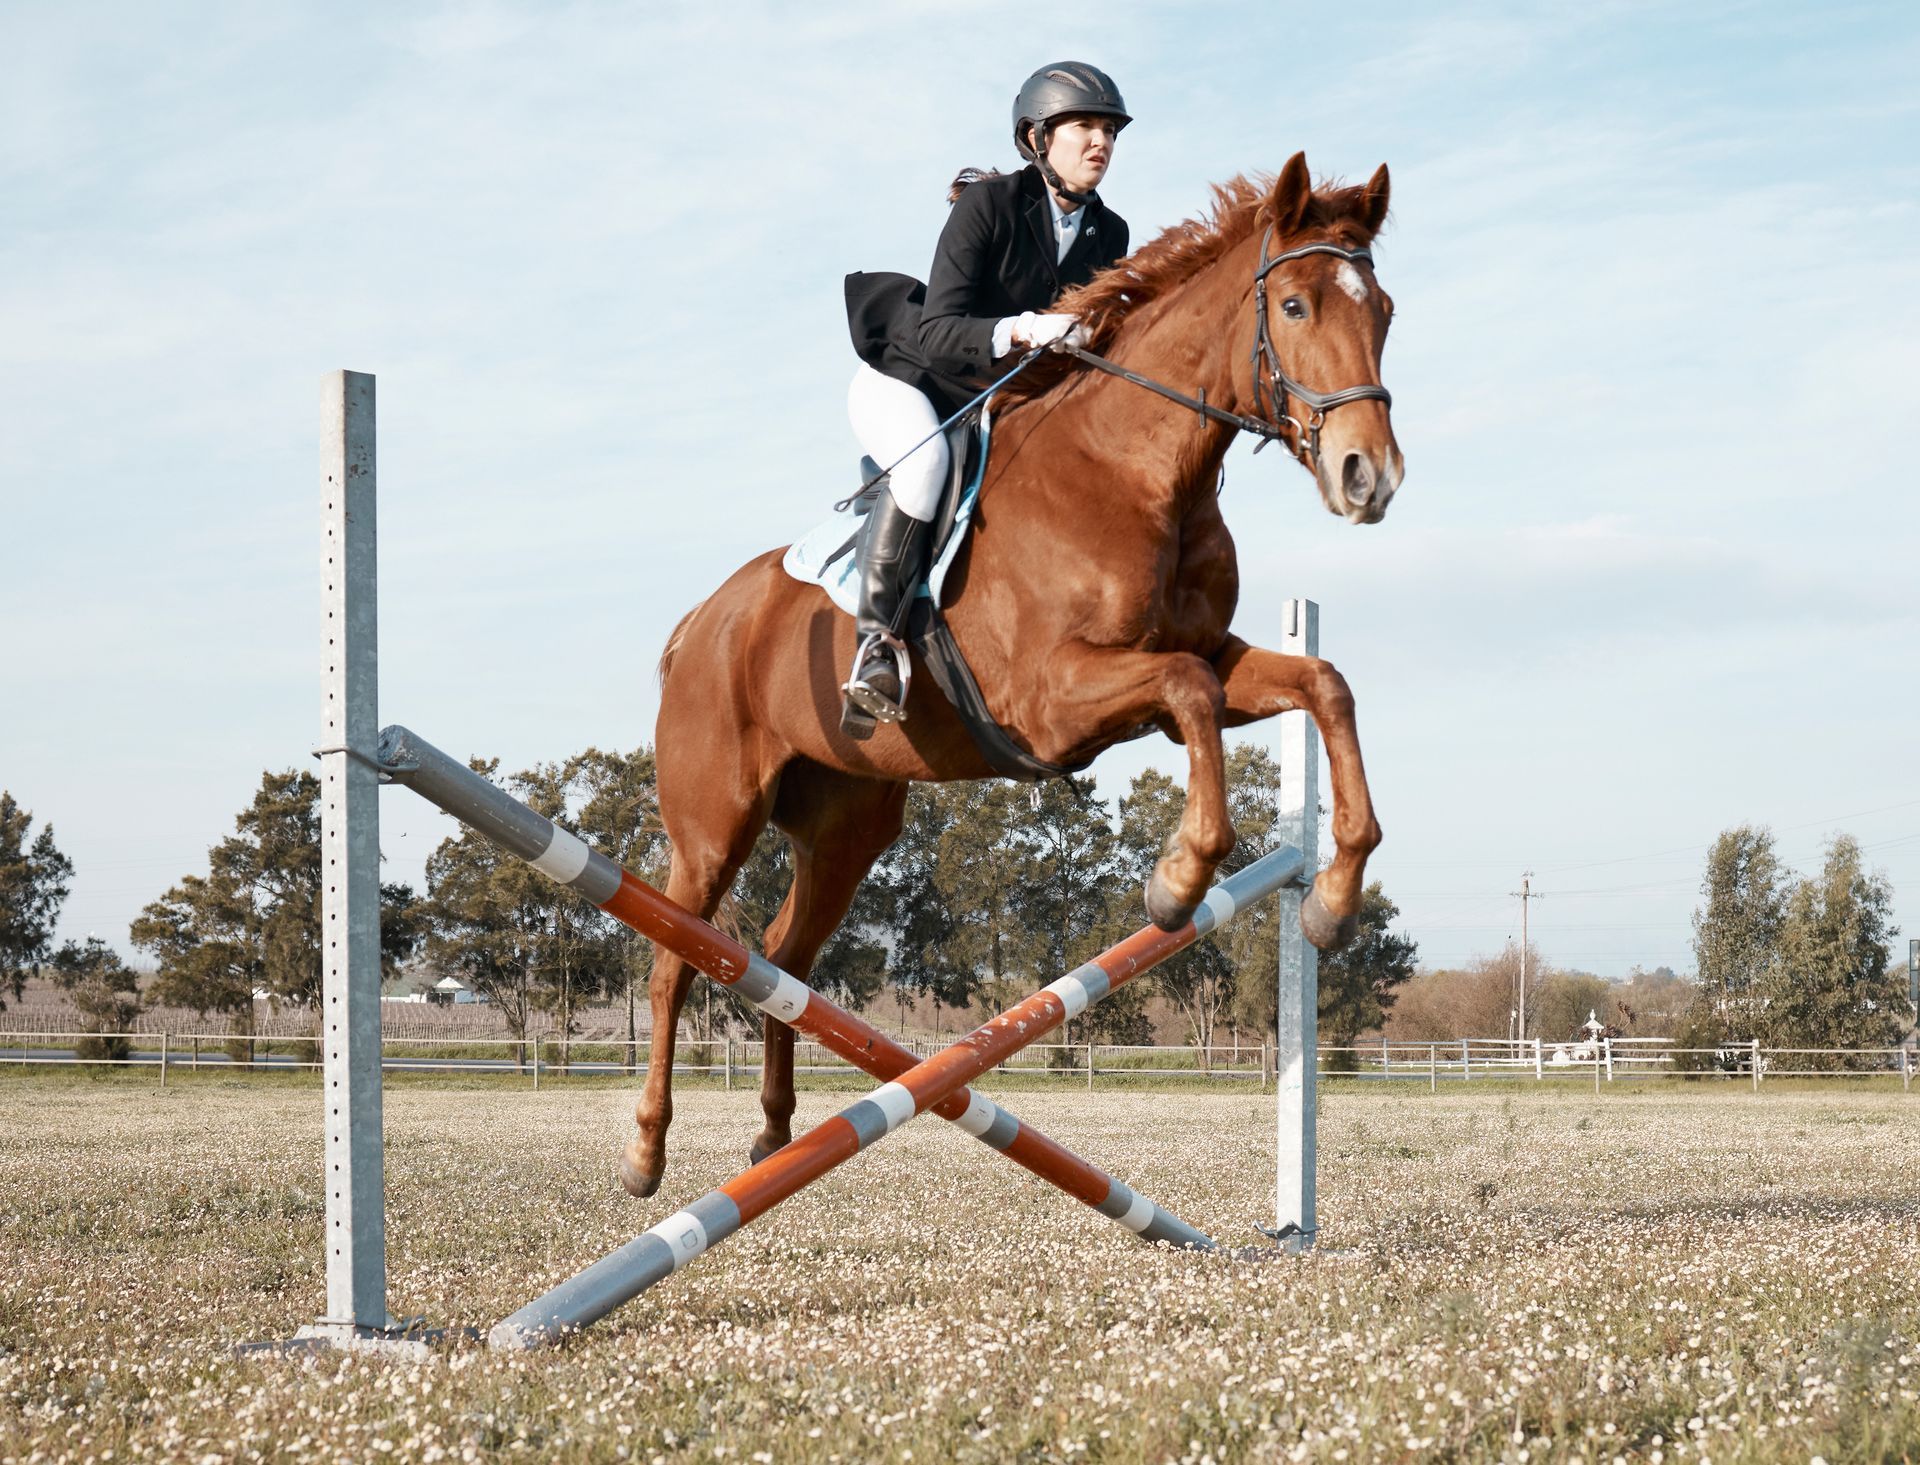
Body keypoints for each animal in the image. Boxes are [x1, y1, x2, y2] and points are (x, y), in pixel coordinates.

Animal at [620, 152, 1403, 1199]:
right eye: (1292, 304)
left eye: (1383, 309)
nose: (1369, 477)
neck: (1140, 469)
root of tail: (700, 623)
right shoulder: (1054, 701)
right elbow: (1190, 691)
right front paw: (1178, 880)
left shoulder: (1209, 658)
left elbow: (1321, 683)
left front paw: (1332, 898)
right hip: (714, 823)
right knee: (674, 963)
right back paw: (647, 1150)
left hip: (847, 826)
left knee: (785, 959)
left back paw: (775, 1135)